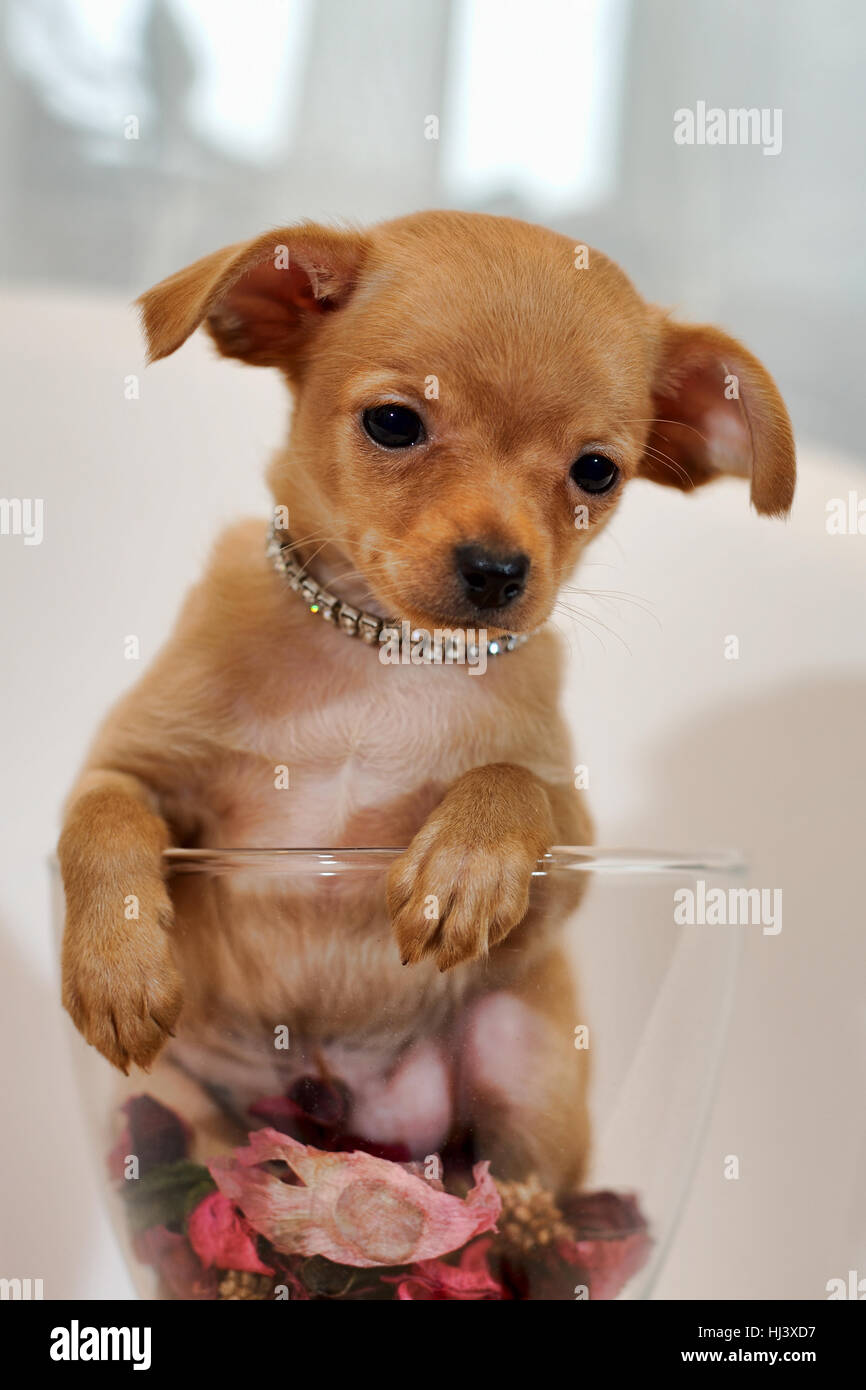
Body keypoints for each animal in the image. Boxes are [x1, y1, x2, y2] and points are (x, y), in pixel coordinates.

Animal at [57, 211, 795, 1189]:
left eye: (596, 472)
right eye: (394, 423)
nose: (498, 570)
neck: (381, 656)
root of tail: (345, 1113)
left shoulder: (572, 850)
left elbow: (512, 782)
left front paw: (466, 865)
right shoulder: (133, 763)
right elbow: (100, 828)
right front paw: (116, 967)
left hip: (520, 1048)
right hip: (179, 1092)